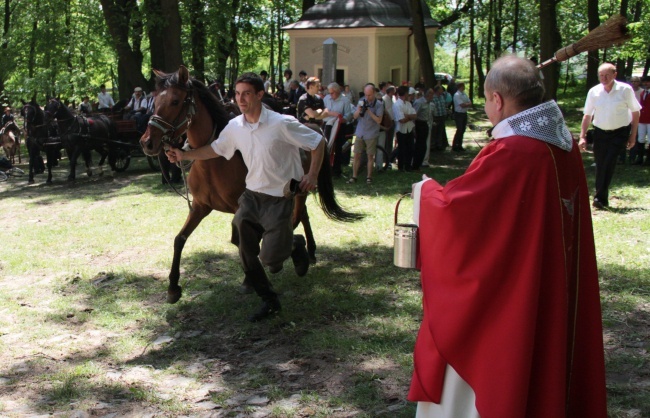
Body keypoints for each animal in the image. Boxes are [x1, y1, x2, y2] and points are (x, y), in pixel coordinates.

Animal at [140, 67, 360, 306]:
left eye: (175, 101)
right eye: (155, 101)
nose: (147, 142)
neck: (215, 161)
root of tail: (313, 128)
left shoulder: (241, 208)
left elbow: (242, 242)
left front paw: (248, 280)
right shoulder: (200, 207)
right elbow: (180, 239)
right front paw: (173, 287)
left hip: (301, 191)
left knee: (296, 217)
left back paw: (299, 253)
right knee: (301, 217)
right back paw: (307, 252)